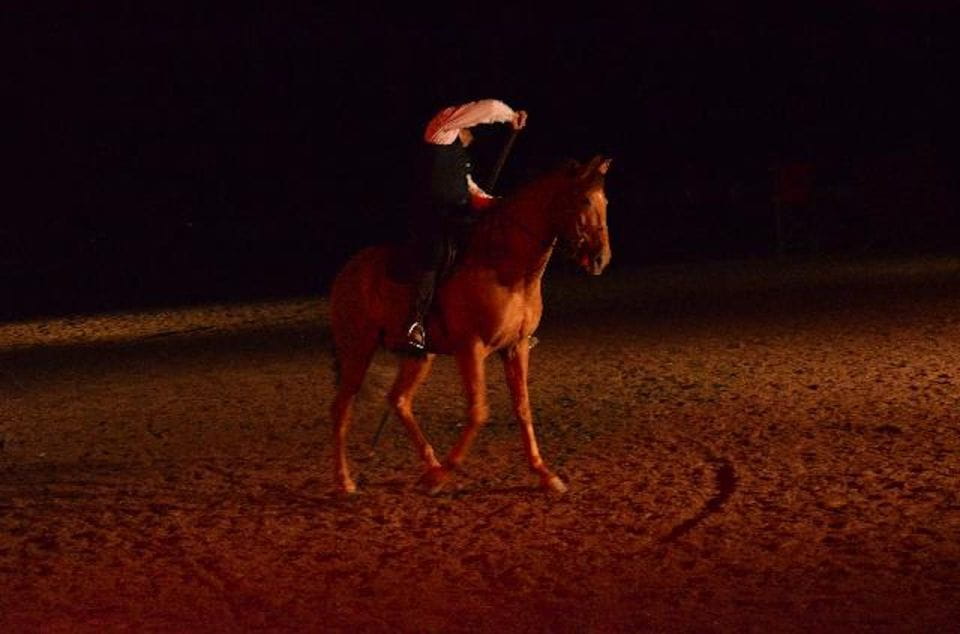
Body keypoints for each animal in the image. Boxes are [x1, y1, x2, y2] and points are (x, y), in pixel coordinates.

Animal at [329, 155, 612, 494]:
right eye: (584, 200)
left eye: (605, 201)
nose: (601, 259)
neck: (507, 269)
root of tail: (348, 271)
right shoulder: (471, 349)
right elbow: (478, 412)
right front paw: (442, 477)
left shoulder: (516, 347)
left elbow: (523, 408)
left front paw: (544, 473)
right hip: (357, 350)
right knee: (342, 408)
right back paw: (345, 480)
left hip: (419, 355)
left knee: (399, 400)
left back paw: (429, 464)